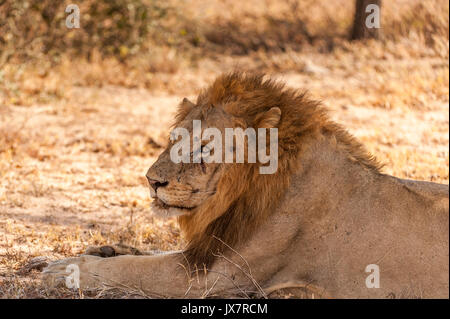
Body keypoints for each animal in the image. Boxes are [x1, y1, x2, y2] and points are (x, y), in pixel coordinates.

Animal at [43, 72, 450, 300]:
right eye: (173, 139)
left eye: (203, 147)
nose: (152, 181)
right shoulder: (207, 251)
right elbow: (143, 253)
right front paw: (84, 253)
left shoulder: (215, 280)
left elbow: (132, 269)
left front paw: (66, 269)